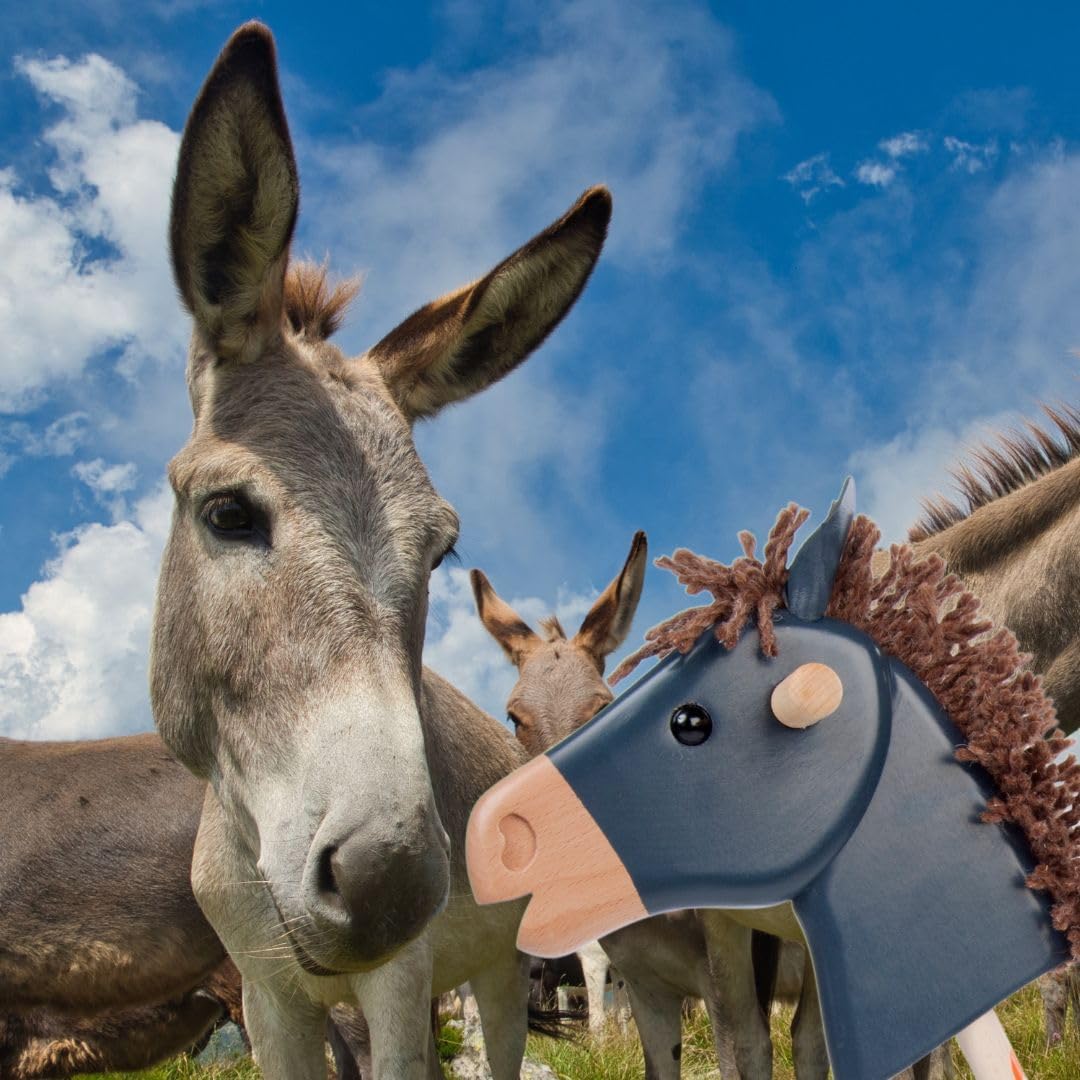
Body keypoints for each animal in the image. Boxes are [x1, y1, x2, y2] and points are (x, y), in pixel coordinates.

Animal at [151, 21, 611, 1079]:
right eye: (228, 514)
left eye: (441, 553)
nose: (392, 885)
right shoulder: (267, 993)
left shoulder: (402, 985)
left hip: (501, 965)